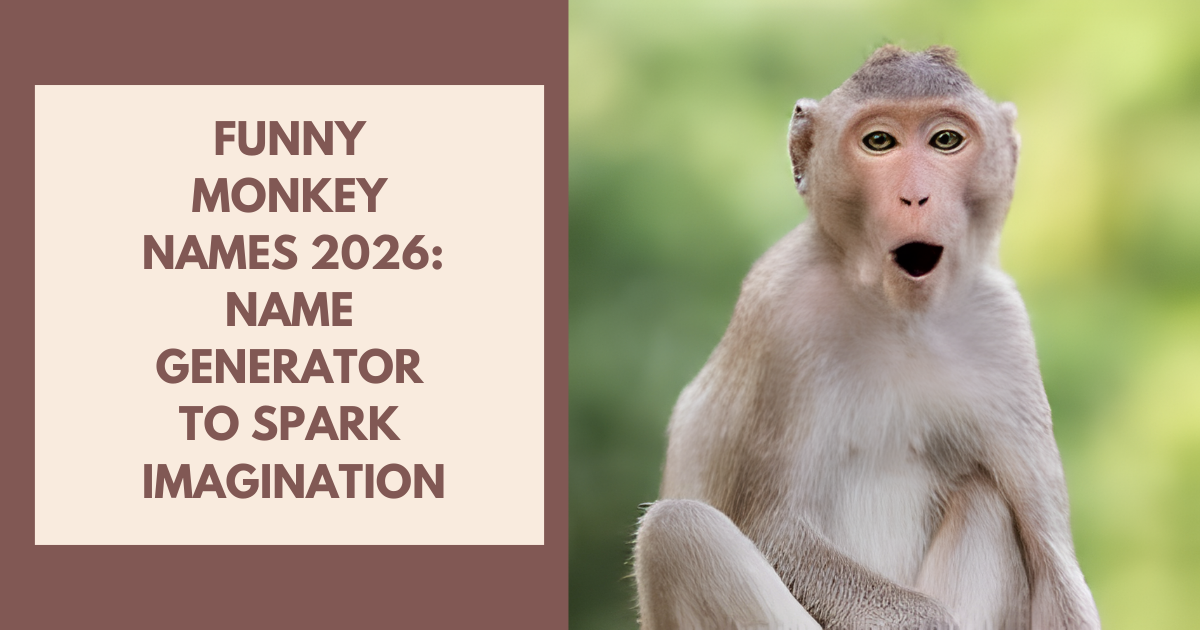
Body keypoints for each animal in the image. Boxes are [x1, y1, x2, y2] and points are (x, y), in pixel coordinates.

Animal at [633, 46, 1100, 630]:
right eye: (879, 142)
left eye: (946, 140)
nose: (915, 196)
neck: (897, 313)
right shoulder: (782, 315)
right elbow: (776, 530)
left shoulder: (1003, 331)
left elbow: (1052, 561)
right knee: (676, 529)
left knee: (988, 500)